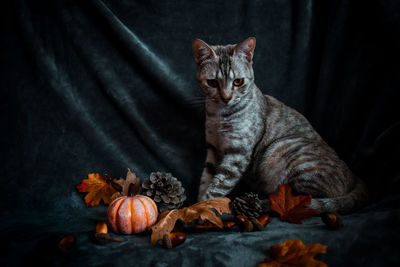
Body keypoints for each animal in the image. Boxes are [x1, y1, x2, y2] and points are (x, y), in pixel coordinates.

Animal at [192, 37, 368, 216]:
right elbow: (206, 179)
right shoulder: (213, 149)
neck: (219, 116)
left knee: (301, 201)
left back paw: (263, 204)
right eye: (212, 82)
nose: (226, 98)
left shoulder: (238, 154)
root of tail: (355, 177)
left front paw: (203, 209)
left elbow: (219, 185)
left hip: (285, 150)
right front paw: (197, 205)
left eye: (238, 81)